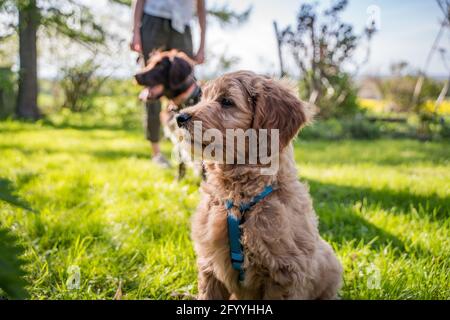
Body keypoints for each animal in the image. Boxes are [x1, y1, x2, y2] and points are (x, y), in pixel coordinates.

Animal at [176, 70, 342, 300]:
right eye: (203, 97)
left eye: (226, 101)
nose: (179, 118)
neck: (239, 196)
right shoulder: (209, 265)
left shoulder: (284, 274)